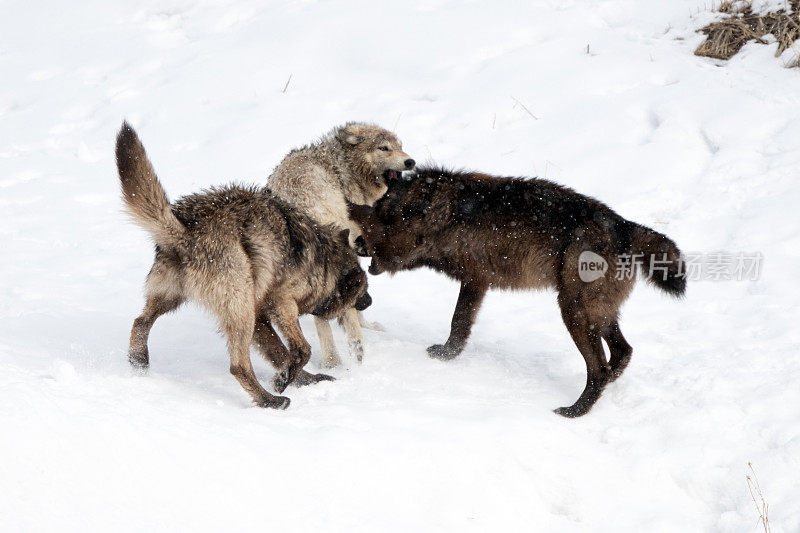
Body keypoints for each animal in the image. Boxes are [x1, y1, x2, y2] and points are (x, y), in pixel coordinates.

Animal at [116, 122, 372, 410]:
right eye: (361, 292)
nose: (369, 301)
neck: (326, 260)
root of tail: (186, 232)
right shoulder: (281, 304)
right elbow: (301, 350)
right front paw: (282, 381)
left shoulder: (260, 317)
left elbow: (281, 353)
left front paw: (297, 378)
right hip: (239, 311)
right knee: (238, 366)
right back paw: (270, 400)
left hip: (174, 299)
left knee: (140, 321)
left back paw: (139, 360)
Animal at [268, 122, 416, 368]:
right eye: (384, 148)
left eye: (400, 146)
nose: (410, 162)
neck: (346, 167)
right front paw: (365, 326)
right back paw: (347, 354)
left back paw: (333, 360)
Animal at [346, 166, 684, 416]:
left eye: (368, 229)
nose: (356, 243)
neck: (436, 213)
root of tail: (622, 224)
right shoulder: (477, 282)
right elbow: (461, 325)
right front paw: (448, 354)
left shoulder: (474, 278)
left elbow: (457, 321)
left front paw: (445, 355)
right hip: (597, 314)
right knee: (623, 352)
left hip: (573, 311)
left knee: (599, 368)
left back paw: (575, 411)